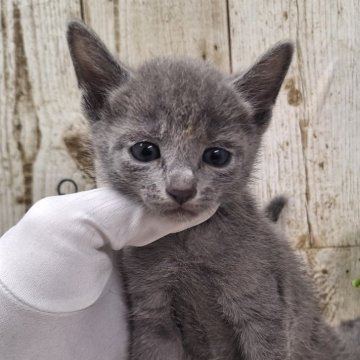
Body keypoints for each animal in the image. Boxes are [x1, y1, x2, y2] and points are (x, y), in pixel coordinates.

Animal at [66, 21, 358, 358]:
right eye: (144, 151)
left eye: (217, 156)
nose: (181, 188)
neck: (188, 246)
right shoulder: (152, 315)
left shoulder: (263, 311)